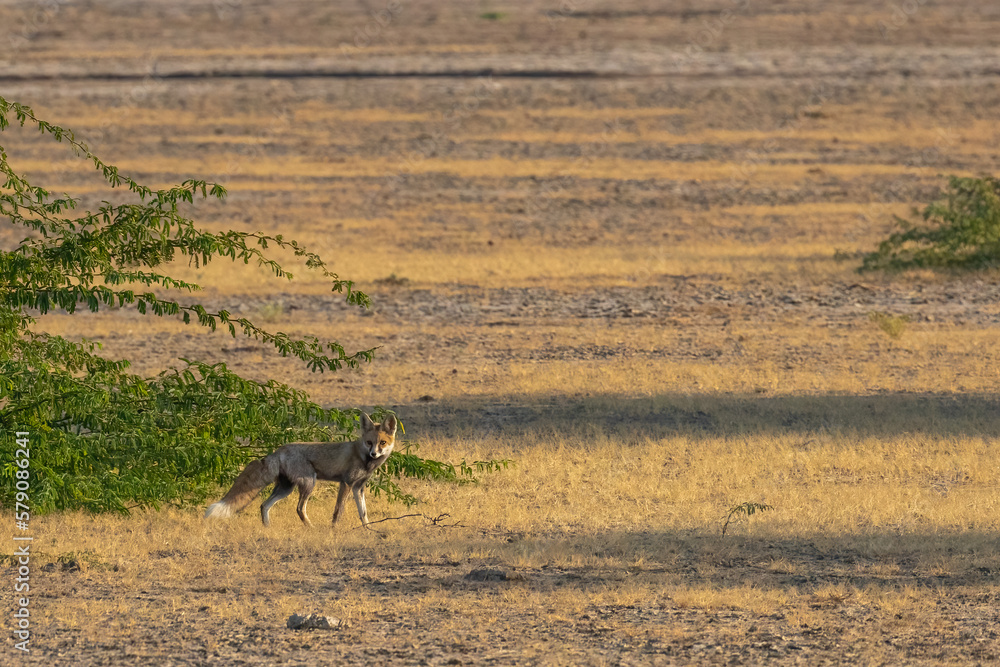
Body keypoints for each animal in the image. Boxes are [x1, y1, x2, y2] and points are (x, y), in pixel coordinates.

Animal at [204, 413, 397, 528]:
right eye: (369, 442)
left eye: (382, 443)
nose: (373, 454)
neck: (363, 458)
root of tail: (278, 450)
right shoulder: (346, 483)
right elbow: (338, 511)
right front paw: (334, 529)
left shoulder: (359, 487)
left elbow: (363, 513)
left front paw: (369, 529)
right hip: (309, 483)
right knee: (299, 509)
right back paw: (311, 528)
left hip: (285, 488)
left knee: (264, 505)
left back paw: (267, 528)